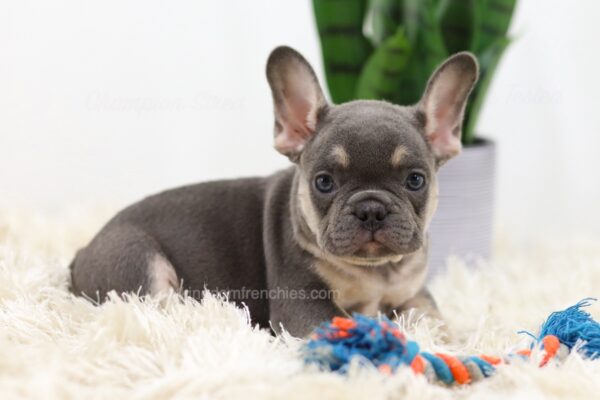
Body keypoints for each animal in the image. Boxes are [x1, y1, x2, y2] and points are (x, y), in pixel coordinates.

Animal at [69, 45, 478, 336]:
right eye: (324, 182)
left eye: (416, 180)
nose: (371, 208)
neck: (375, 273)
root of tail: (82, 253)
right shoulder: (303, 301)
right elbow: (341, 323)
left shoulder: (414, 293)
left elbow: (434, 318)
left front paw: (454, 344)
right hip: (138, 258)